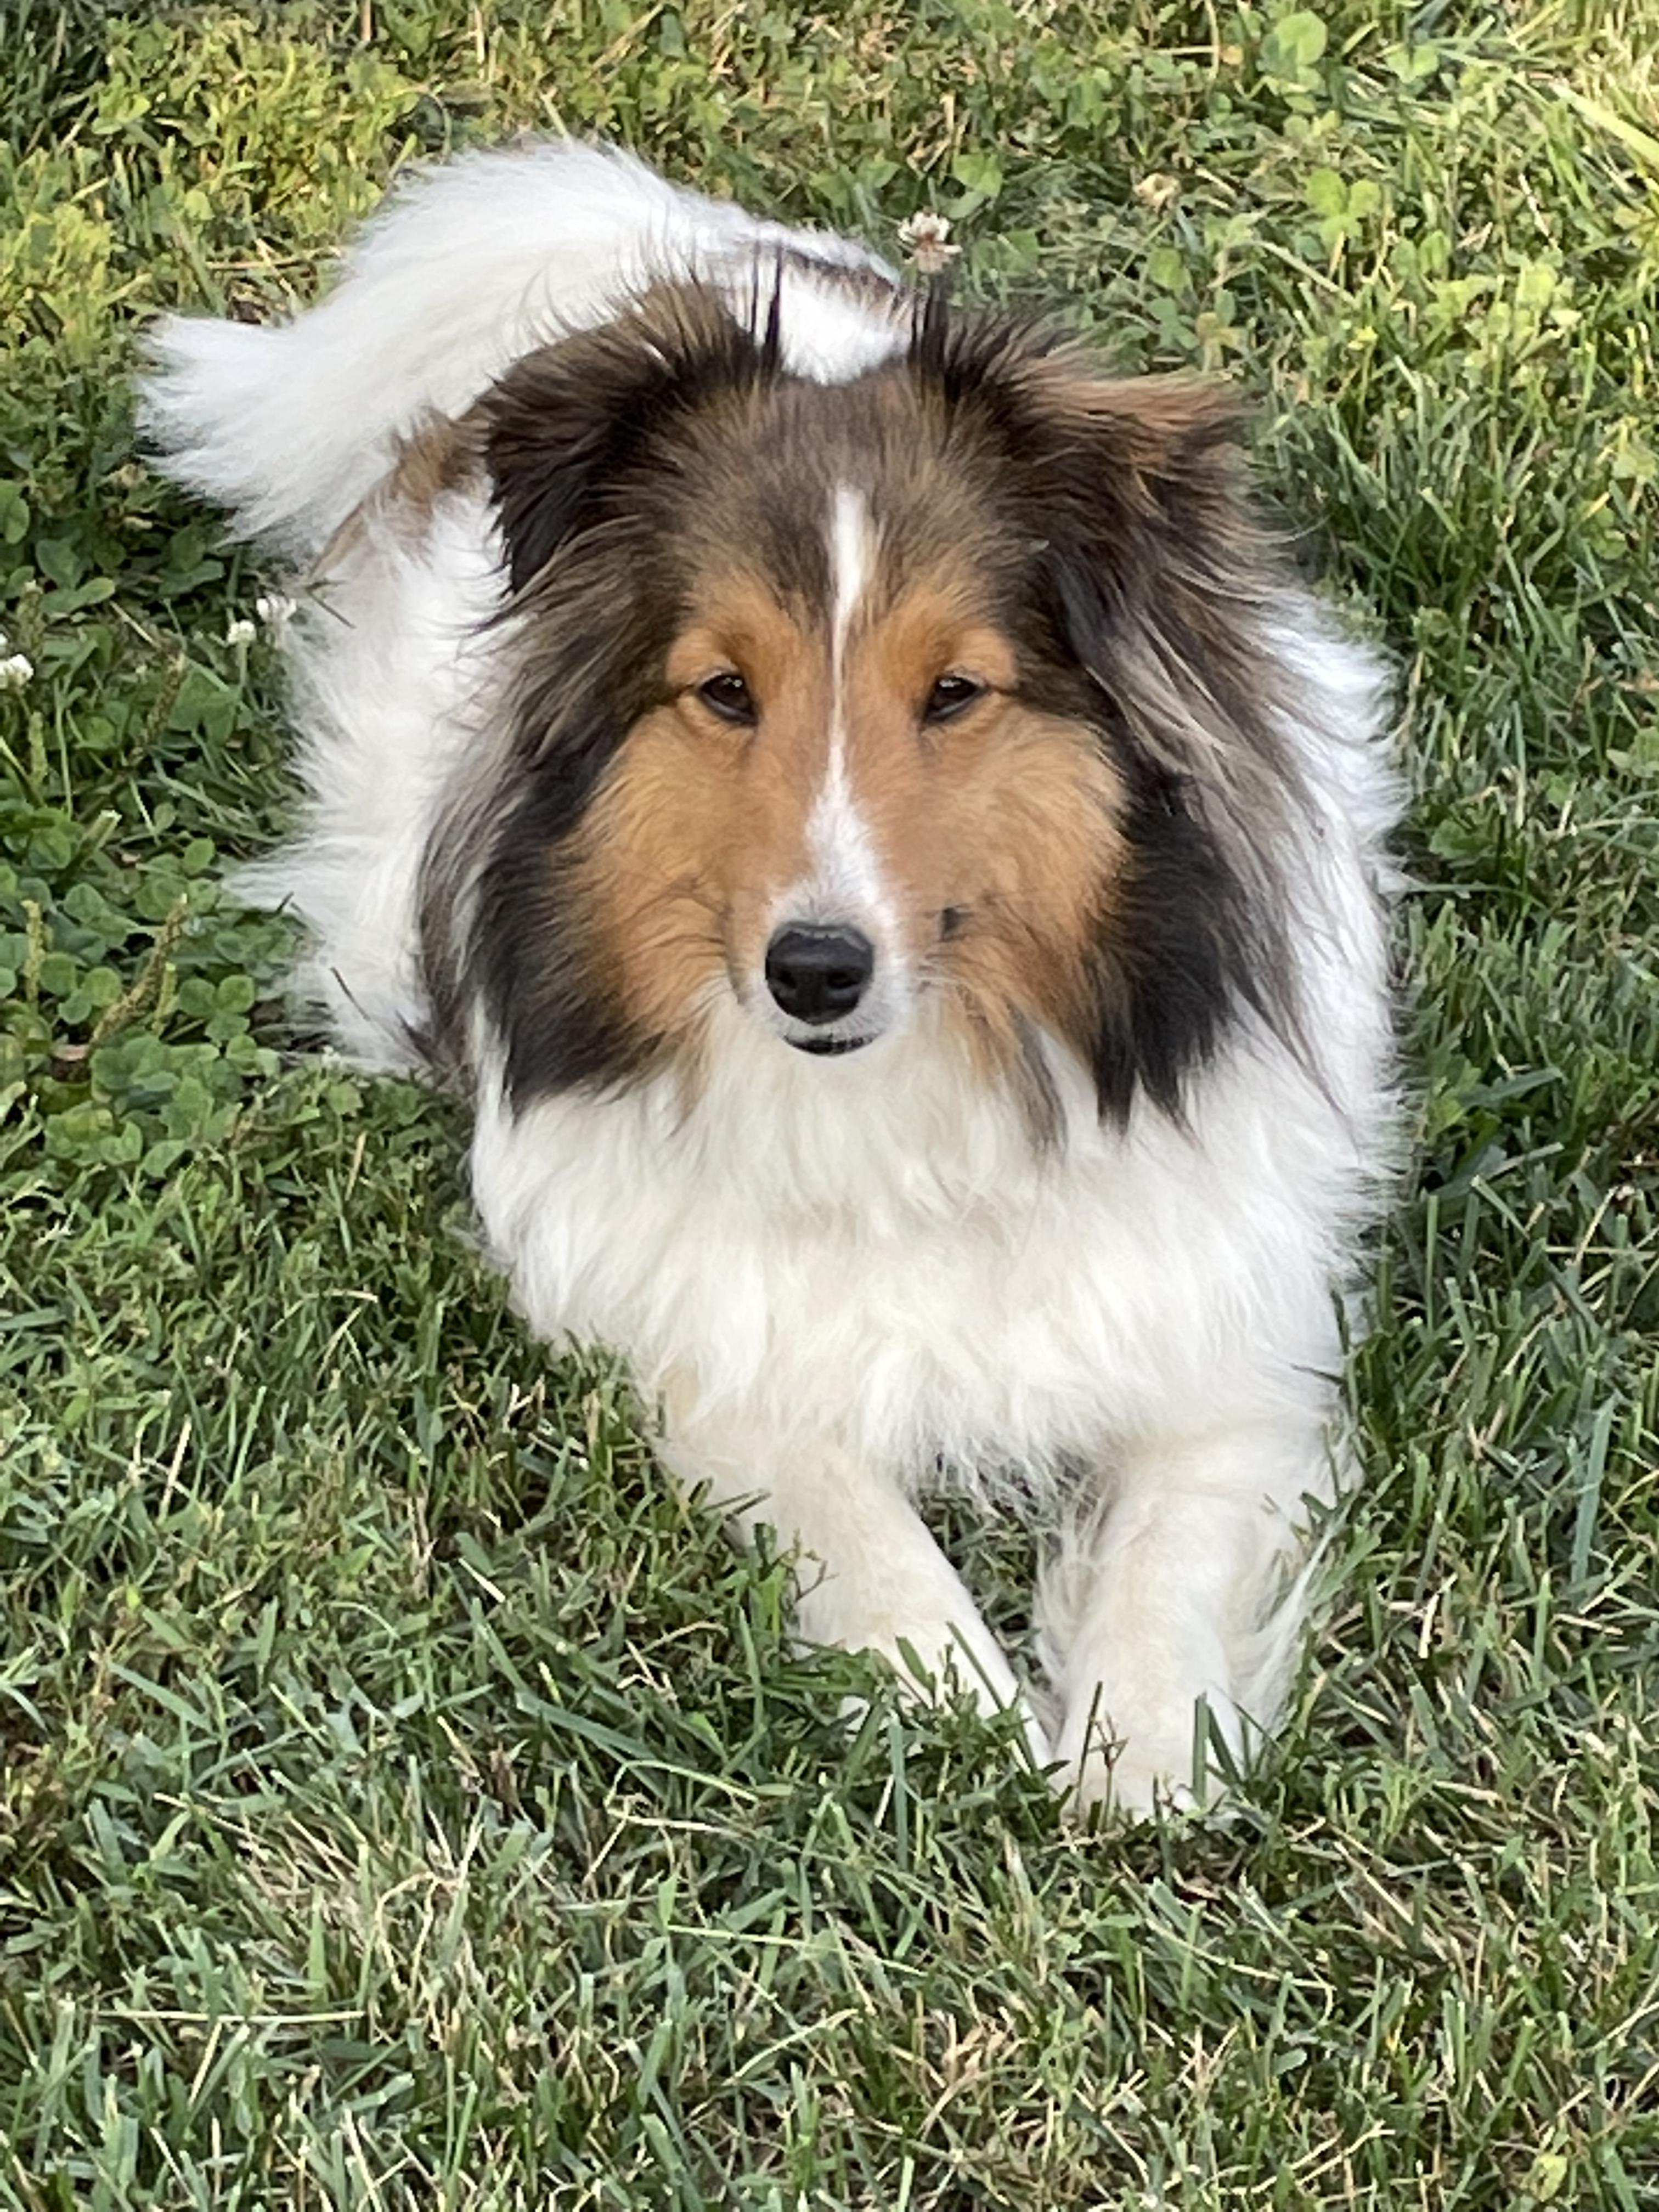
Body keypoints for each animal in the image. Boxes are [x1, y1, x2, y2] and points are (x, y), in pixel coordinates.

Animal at [139, 141, 1400, 1814]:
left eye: (957, 693)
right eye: (724, 692)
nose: (815, 973)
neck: (902, 1099)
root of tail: (669, 258)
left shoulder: (1228, 1332)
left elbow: (1171, 1550)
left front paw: (1138, 1754)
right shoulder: (687, 1317)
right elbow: (854, 1520)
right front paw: (961, 1701)